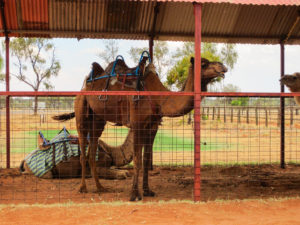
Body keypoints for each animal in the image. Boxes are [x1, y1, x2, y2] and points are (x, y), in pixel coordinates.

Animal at [53, 56, 227, 200]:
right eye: (203, 64)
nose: (223, 67)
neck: (158, 98)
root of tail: (84, 87)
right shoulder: (137, 124)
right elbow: (137, 159)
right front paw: (134, 194)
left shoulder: (152, 127)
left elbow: (146, 159)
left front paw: (147, 191)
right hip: (81, 112)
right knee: (83, 149)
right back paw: (83, 188)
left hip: (98, 120)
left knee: (91, 151)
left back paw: (100, 187)